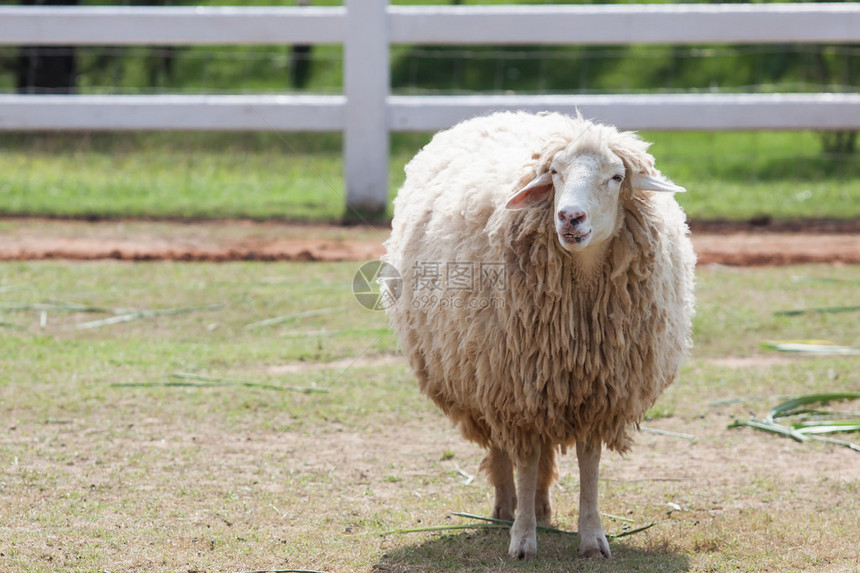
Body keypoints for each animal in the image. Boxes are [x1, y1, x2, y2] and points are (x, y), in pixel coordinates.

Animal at [386, 110, 696, 560]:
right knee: (503, 448)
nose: (570, 217)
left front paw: (592, 537)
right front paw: (522, 538)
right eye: (554, 172)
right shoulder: (515, 386)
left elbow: (589, 462)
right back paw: (505, 508)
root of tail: (504, 113)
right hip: (487, 374)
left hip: (543, 381)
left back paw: (543, 507)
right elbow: (527, 459)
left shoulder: (597, 390)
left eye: (617, 176)